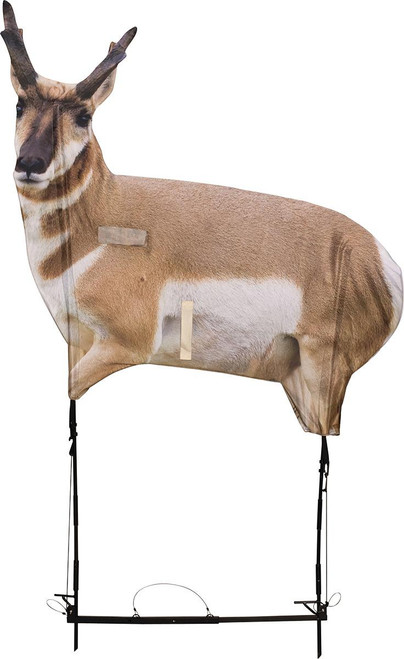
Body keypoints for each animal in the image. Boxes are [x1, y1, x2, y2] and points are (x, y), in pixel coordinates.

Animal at [2, 1, 402, 436]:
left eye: (83, 117)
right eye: (20, 105)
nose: (30, 164)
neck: (103, 216)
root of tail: (379, 259)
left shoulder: (124, 344)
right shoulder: (78, 342)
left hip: (322, 373)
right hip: (296, 380)